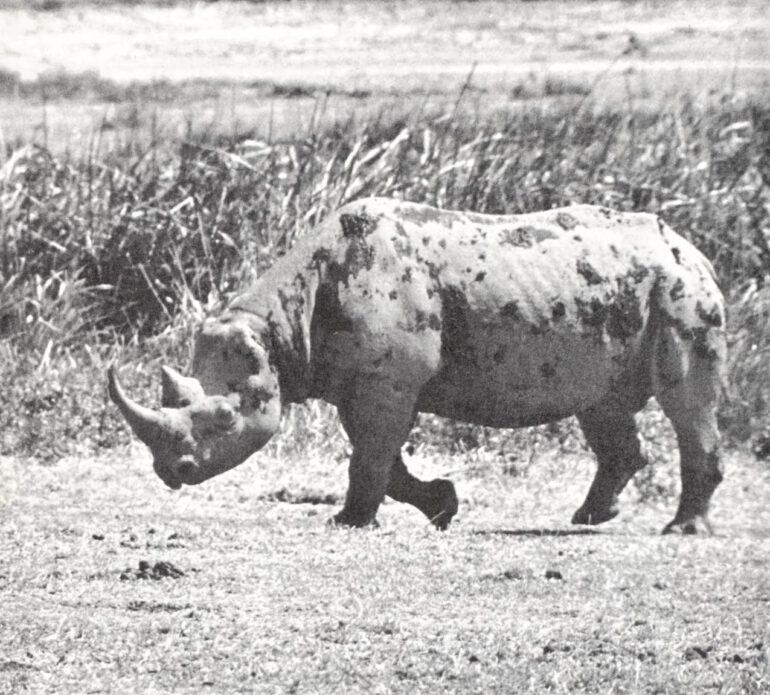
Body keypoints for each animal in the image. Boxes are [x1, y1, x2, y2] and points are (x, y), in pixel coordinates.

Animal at [109, 197, 726, 534]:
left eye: (225, 420)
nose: (172, 473)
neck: (279, 328)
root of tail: (695, 250)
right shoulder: (363, 379)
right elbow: (382, 457)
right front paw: (442, 506)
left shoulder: (387, 378)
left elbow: (371, 454)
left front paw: (348, 522)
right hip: (620, 300)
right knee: (602, 405)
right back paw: (591, 518)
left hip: (680, 293)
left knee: (685, 400)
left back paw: (680, 530)